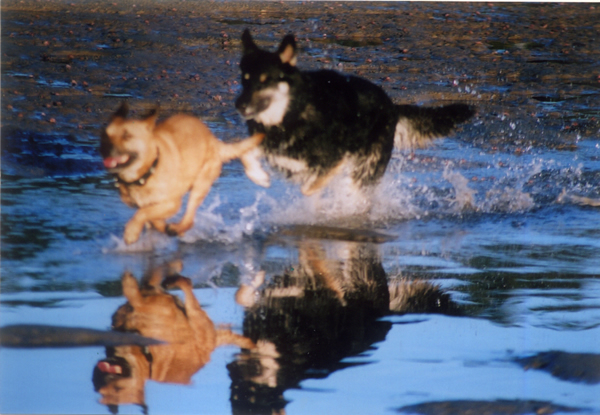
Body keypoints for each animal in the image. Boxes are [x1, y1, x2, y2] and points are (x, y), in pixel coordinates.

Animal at [100, 103, 268, 245]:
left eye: (127, 136)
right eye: (105, 135)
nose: (106, 150)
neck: (145, 173)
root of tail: (213, 140)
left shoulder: (172, 203)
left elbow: (143, 213)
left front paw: (131, 232)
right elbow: (149, 215)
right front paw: (155, 227)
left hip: (200, 185)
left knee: (189, 219)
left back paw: (176, 228)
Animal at [237, 30, 476, 197]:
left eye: (264, 80)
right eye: (244, 79)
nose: (239, 106)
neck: (292, 113)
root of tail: (391, 105)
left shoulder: (335, 160)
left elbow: (309, 187)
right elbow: (245, 154)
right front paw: (259, 176)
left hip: (366, 169)